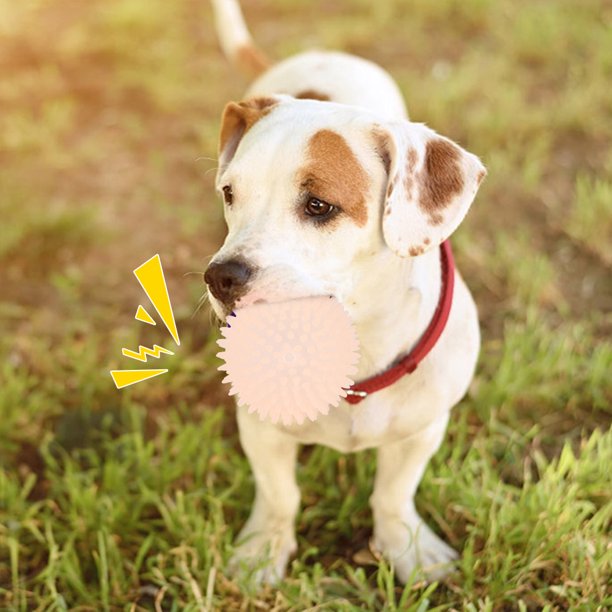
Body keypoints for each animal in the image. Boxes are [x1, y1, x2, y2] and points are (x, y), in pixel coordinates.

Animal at [208, 0, 486, 584]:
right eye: (229, 194)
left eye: (319, 206)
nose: (221, 276)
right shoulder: (260, 430)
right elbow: (280, 496)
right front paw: (264, 550)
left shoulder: (421, 431)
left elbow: (393, 495)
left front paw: (406, 548)